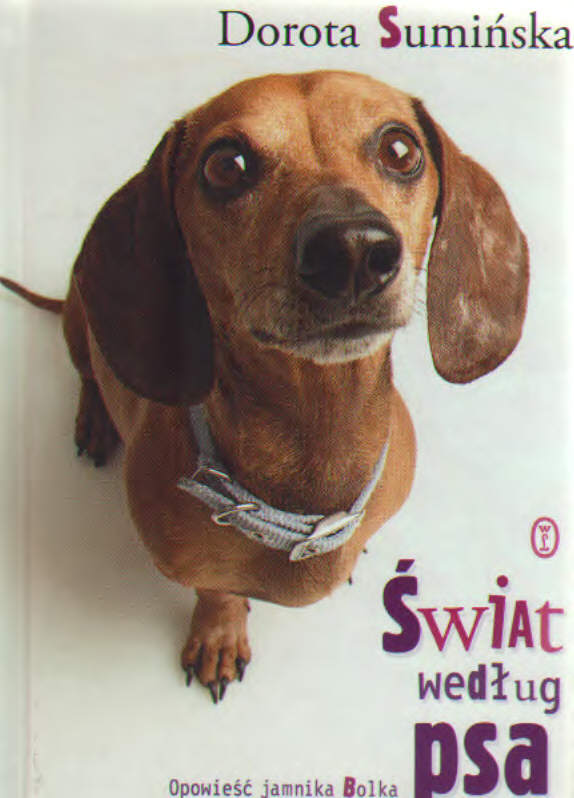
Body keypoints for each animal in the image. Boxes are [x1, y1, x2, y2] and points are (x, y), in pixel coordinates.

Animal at [1, 71, 528, 703]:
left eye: (401, 149)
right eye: (225, 165)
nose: (352, 249)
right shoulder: (193, 569)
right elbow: (218, 592)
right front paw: (219, 635)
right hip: (79, 326)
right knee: (86, 376)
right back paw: (95, 421)